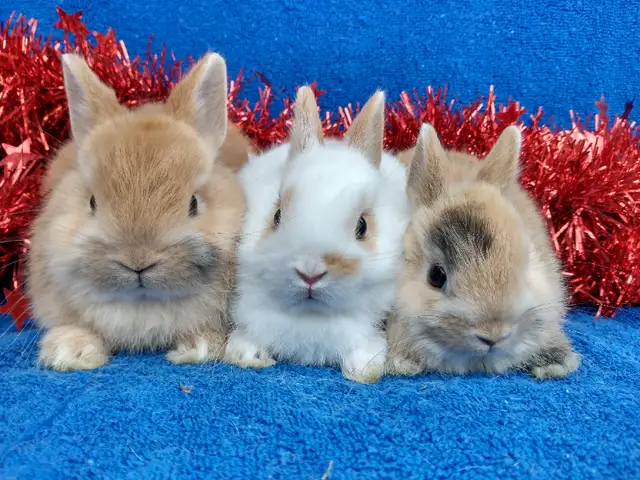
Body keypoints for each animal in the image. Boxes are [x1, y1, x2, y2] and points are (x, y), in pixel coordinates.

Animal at [223, 86, 411, 383]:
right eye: (277, 215)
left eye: (362, 226)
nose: (310, 272)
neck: (310, 316)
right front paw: (245, 356)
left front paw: (364, 370)